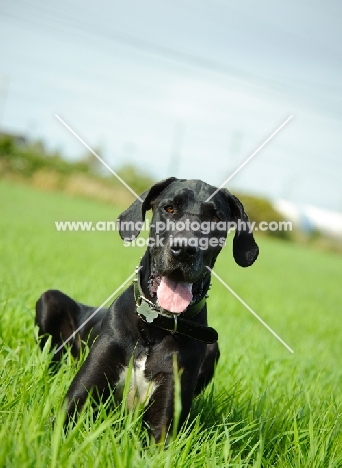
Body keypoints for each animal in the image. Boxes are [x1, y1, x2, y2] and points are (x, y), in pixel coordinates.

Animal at [36, 177, 258, 440]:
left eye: (216, 218)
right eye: (169, 208)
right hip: (50, 299)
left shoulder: (163, 423)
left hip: (213, 347)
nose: (184, 249)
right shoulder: (78, 398)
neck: (154, 327)